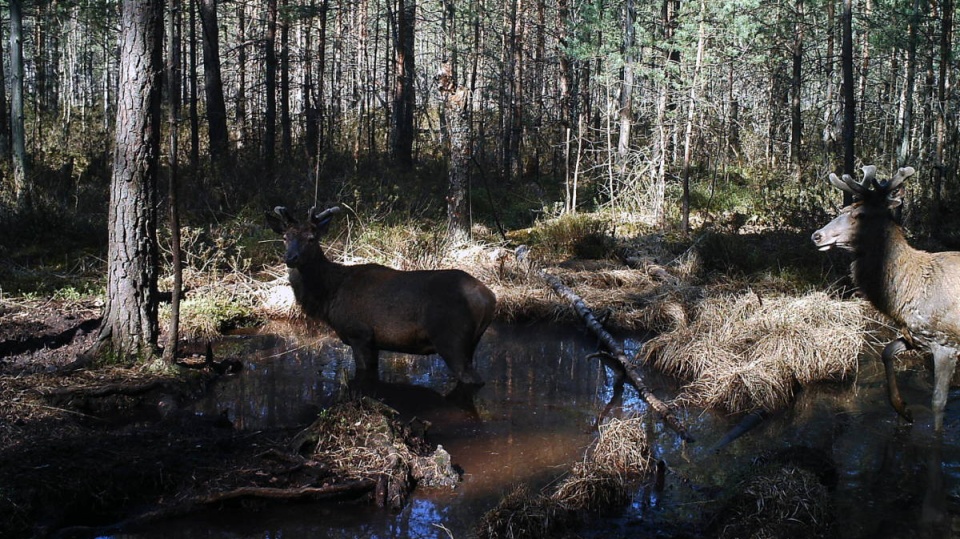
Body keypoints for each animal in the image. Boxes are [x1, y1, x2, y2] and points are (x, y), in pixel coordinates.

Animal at [268, 205, 498, 386]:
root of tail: (490, 298)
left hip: (451, 339)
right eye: (285, 237)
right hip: (471, 343)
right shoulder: (374, 342)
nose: (291, 258)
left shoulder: (359, 333)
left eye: (311, 238)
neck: (328, 296)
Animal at [808, 167, 960, 432]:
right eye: (843, 209)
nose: (817, 236)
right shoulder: (915, 336)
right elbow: (886, 352)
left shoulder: (946, 341)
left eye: (860, 214)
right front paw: (903, 410)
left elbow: (938, 401)